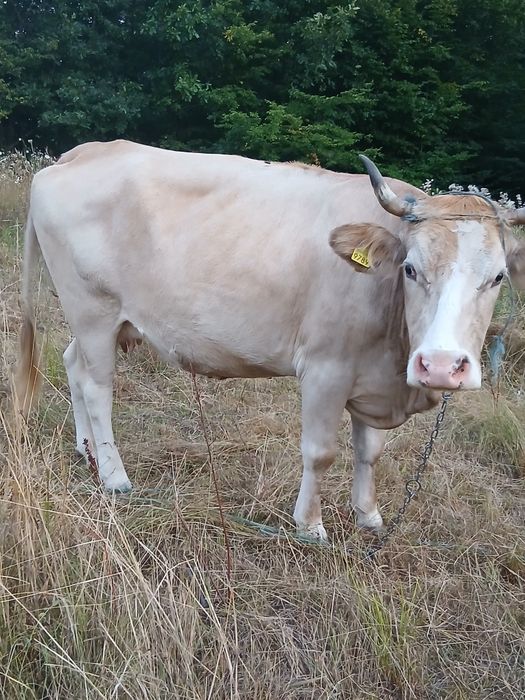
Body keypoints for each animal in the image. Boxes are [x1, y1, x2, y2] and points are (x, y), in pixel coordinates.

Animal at [14, 140, 525, 540]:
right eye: (411, 269)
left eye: (498, 277)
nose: (440, 365)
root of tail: (82, 153)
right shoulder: (325, 369)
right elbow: (321, 452)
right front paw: (310, 525)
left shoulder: (377, 374)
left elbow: (370, 452)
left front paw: (369, 516)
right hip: (93, 310)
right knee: (97, 388)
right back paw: (114, 476)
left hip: (94, 321)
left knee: (74, 366)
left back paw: (86, 451)